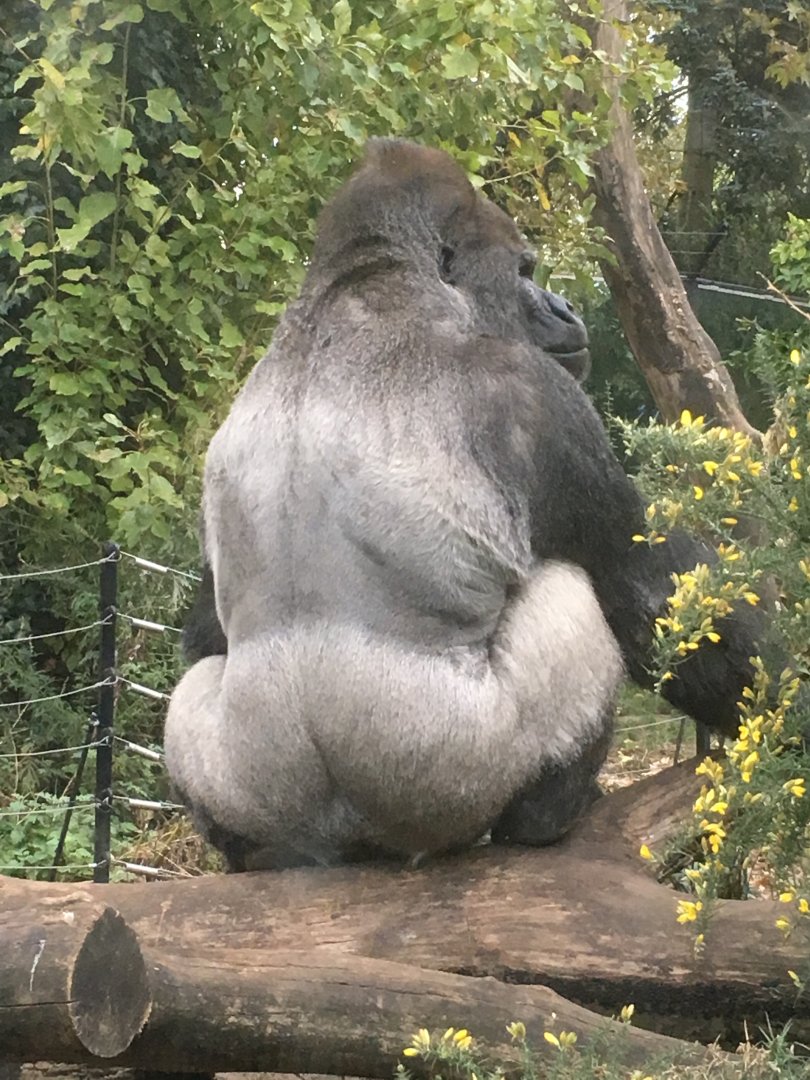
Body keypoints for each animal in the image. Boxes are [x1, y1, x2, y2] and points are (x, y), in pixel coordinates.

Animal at [165, 138, 766, 871]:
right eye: (524, 270)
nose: (564, 307)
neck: (362, 290)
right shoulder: (539, 395)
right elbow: (646, 589)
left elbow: (205, 630)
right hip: (447, 780)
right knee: (572, 594)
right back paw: (547, 813)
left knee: (196, 689)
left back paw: (252, 855)